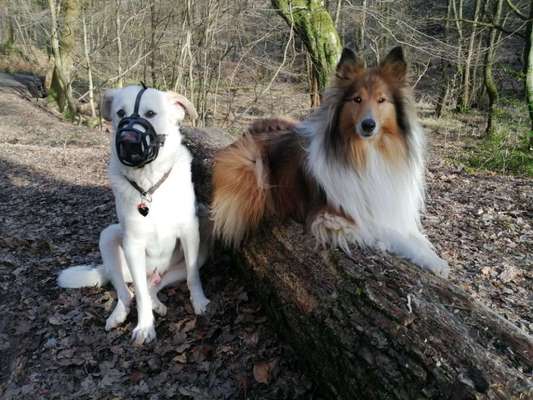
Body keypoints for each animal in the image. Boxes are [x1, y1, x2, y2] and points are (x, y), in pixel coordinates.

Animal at [57, 85, 209, 344]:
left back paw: (157, 303)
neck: (148, 186)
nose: (128, 141)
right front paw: (145, 326)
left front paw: (199, 302)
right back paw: (119, 314)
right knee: (129, 292)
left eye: (150, 113)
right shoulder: (132, 245)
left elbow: (193, 278)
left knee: (152, 287)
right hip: (109, 238)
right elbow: (138, 294)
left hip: (197, 256)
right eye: (120, 113)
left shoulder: (191, 233)